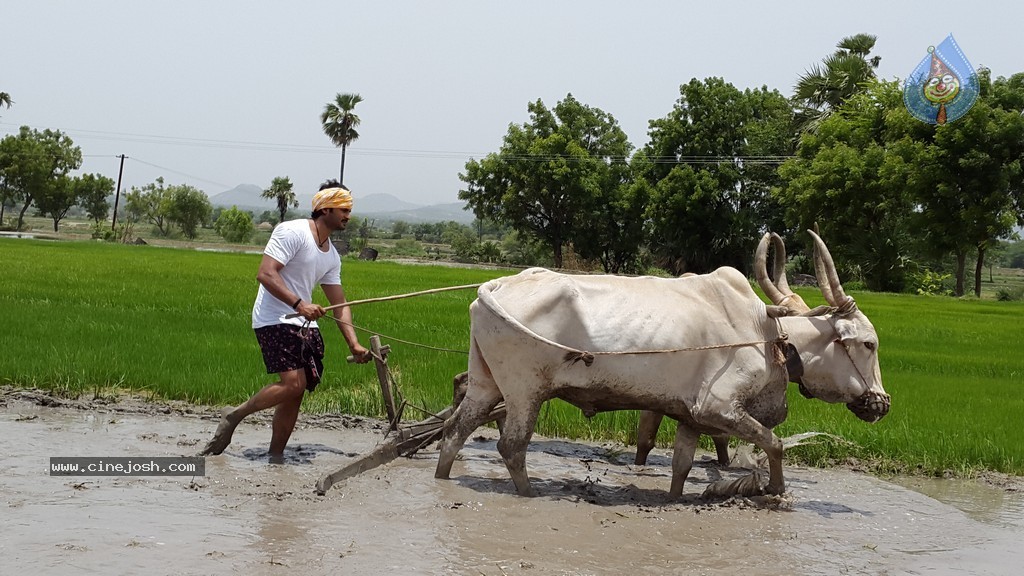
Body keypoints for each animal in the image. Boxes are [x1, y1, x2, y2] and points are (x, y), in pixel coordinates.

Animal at [436, 230, 892, 496]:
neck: (767, 334)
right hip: (524, 391)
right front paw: (774, 492)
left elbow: (681, 468)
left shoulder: (692, 416)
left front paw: (675, 498)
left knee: (455, 430)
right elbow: (774, 444)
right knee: (511, 446)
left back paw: (442, 477)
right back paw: (529, 494)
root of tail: (497, 284)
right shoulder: (720, 408)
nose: (882, 403)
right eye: (869, 344)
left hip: (486, 384)